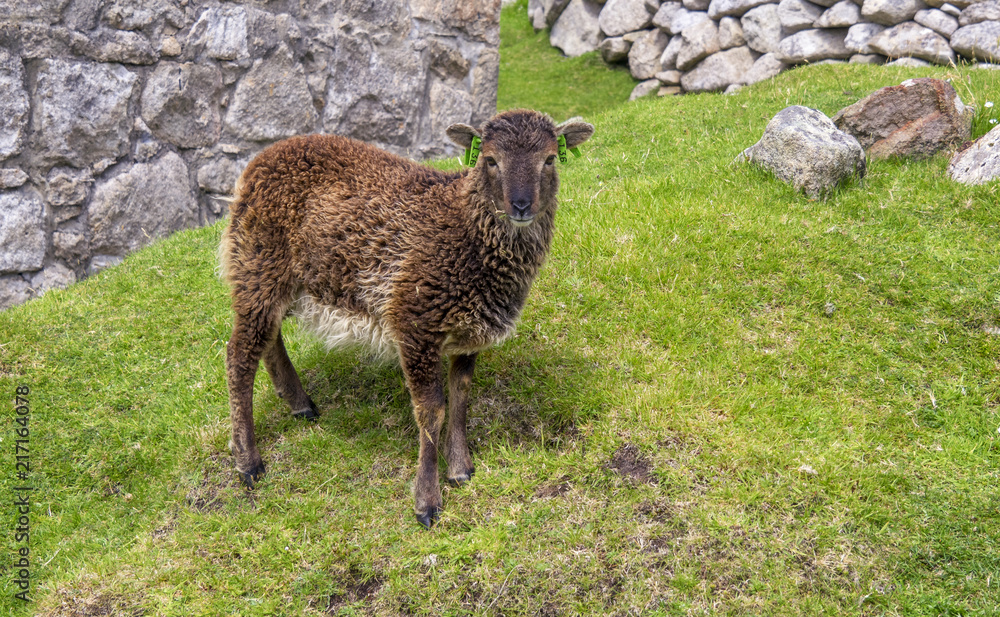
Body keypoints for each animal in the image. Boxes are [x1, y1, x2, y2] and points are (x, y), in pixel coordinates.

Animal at [219, 109, 592, 524]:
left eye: (550, 159)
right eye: (490, 160)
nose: (522, 205)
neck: (464, 230)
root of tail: (258, 162)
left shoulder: (469, 329)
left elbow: (461, 396)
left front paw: (460, 468)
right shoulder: (414, 322)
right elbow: (431, 411)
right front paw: (427, 502)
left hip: (276, 277)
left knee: (268, 338)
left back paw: (300, 404)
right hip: (256, 262)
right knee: (239, 356)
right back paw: (248, 462)